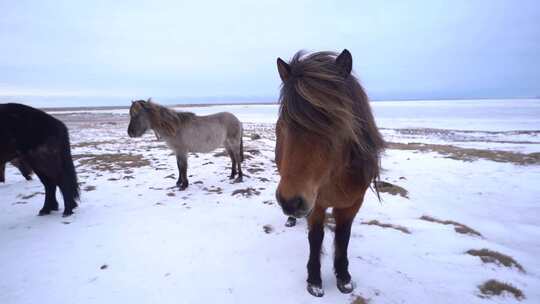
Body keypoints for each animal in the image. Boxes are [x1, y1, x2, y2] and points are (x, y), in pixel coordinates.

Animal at [274, 50, 384, 296]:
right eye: (284, 122)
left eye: (333, 121)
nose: (291, 201)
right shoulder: (316, 204)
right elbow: (316, 239)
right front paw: (314, 280)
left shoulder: (352, 205)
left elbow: (343, 238)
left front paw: (344, 277)